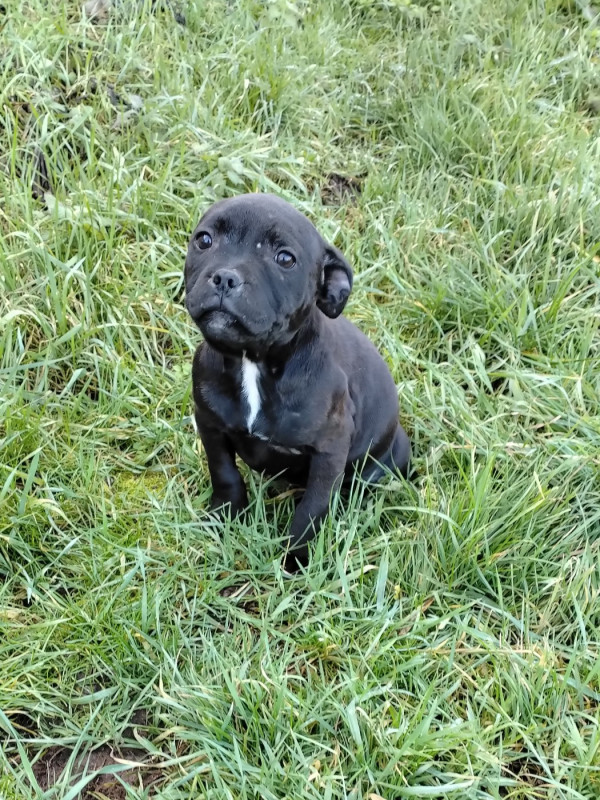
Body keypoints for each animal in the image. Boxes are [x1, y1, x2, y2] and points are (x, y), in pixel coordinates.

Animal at [184, 193, 410, 571]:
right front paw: (224, 516)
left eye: (285, 259)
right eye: (204, 240)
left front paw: (297, 559)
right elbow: (224, 472)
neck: (253, 360)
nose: (226, 277)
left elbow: (312, 509)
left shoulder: (329, 451)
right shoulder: (210, 423)